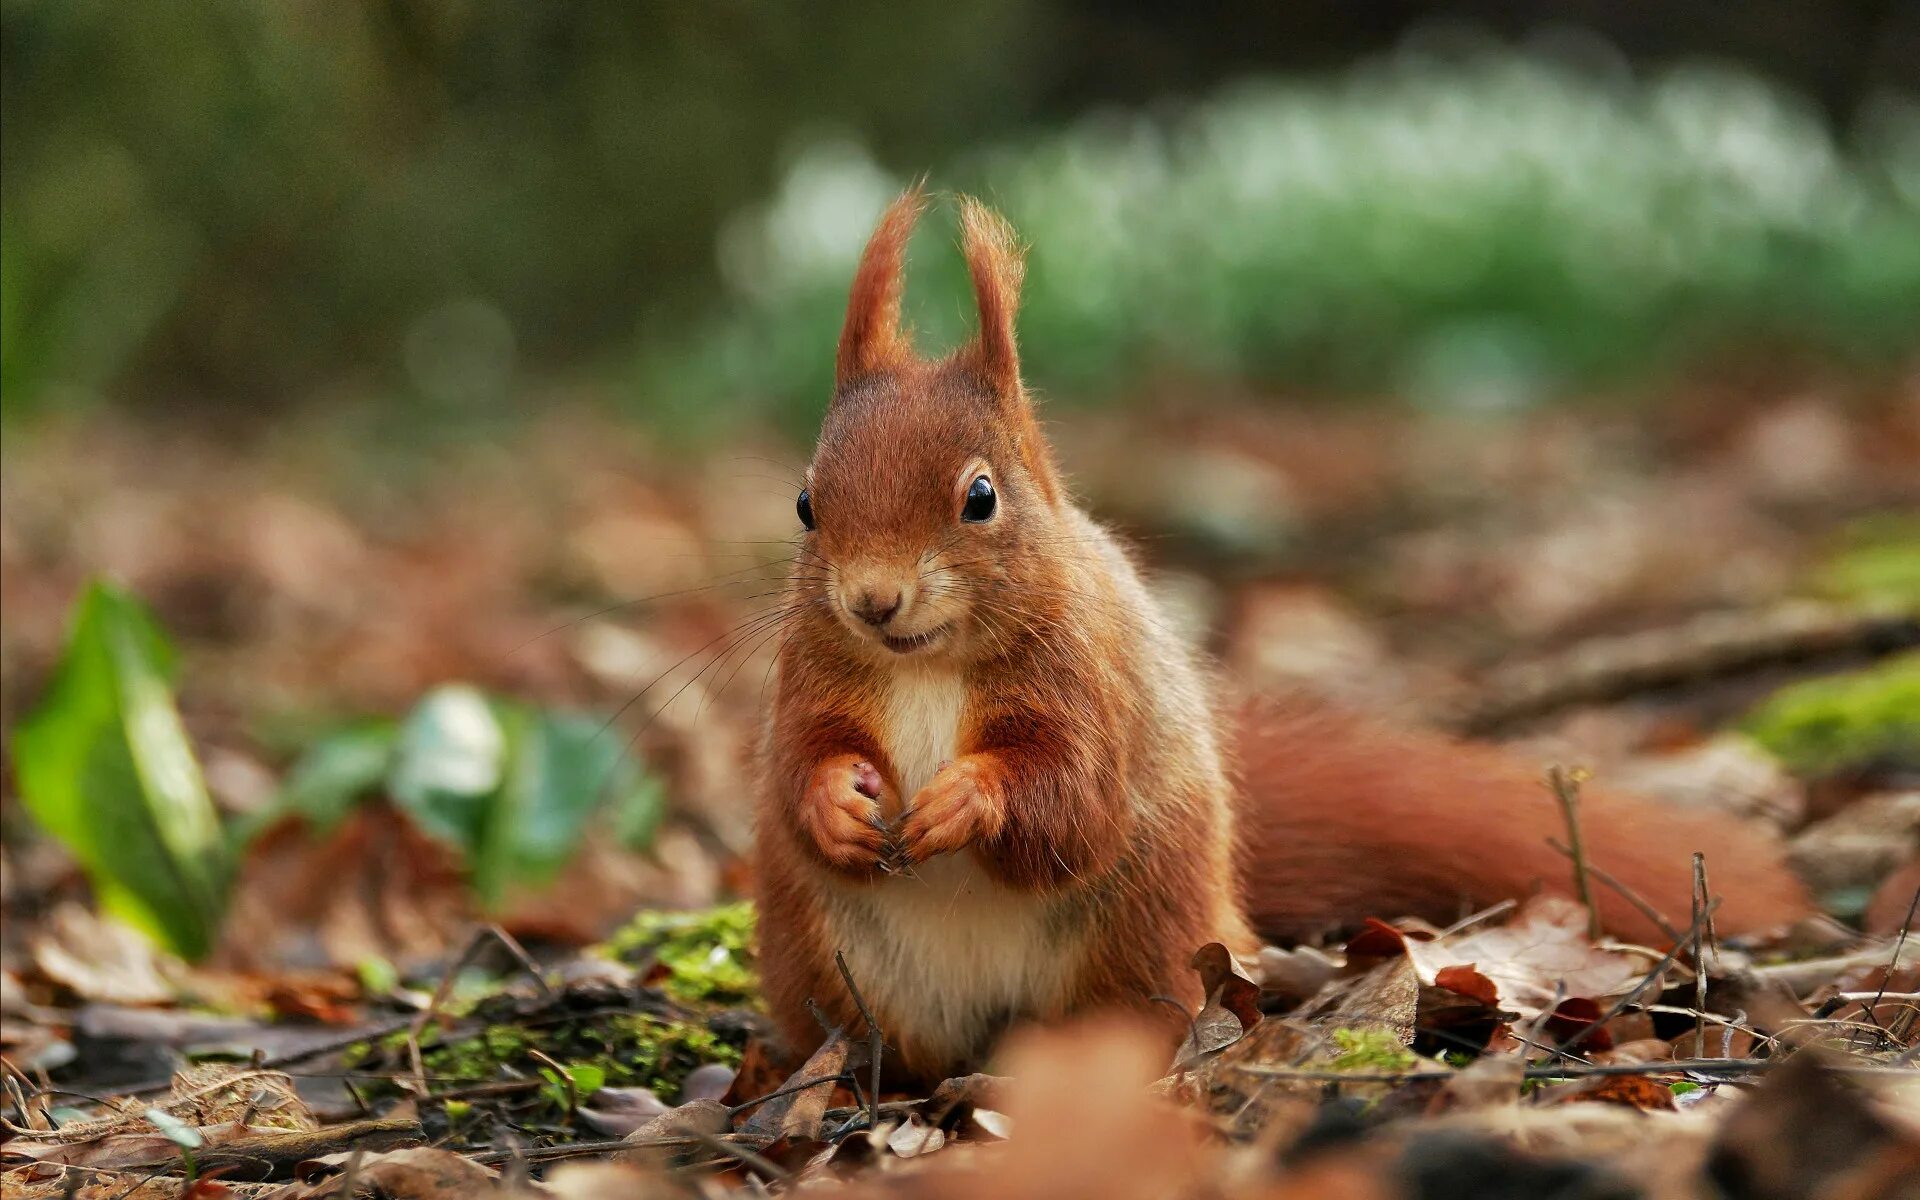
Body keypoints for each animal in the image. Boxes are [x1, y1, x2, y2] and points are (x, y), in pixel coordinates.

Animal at [751, 188, 1811, 1083]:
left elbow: (1072, 805)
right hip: (821, 959)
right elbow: (800, 764)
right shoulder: (808, 678)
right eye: (805, 505)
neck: (926, 667)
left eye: (980, 499)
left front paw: (962, 799)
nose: (873, 600)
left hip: (1140, 940)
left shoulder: (1089, 682)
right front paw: (838, 803)